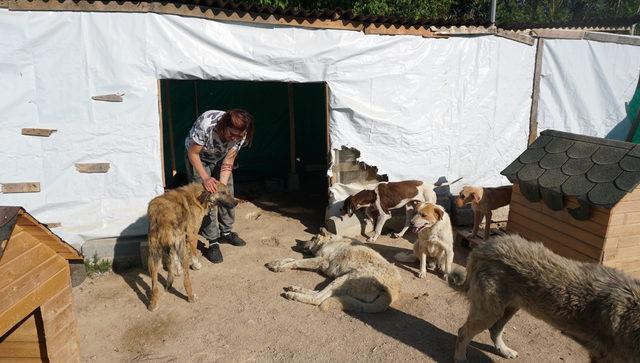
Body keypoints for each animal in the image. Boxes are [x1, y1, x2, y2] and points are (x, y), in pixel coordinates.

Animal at [148, 183, 238, 312]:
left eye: (228, 192)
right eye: (223, 193)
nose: (236, 203)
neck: (198, 196)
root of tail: (162, 217)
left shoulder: (177, 242)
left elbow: (174, 258)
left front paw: (177, 270)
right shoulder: (192, 235)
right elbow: (194, 253)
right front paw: (196, 266)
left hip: (153, 255)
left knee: (154, 285)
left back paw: (153, 304)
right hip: (183, 252)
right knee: (186, 281)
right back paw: (191, 297)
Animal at [264, 230, 400, 312]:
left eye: (312, 237)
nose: (299, 244)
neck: (331, 240)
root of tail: (392, 294)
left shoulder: (319, 260)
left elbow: (295, 261)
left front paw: (280, 267)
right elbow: (291, 259)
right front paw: (276, 262)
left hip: (345, 279)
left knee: (318, 298)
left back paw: (294, 295)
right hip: (340, 281)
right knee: (319, 292)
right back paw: (296, 289)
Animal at [448, 235, 640, 362]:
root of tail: (484, 247)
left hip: (509, 307)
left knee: (494, 330)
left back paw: (504, 350)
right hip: (489, 311)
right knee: (463, 332)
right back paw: (460, 358)